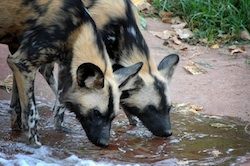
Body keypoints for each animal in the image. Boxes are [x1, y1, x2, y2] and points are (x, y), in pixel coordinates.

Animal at [0, 0, 143, 147]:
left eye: (113, 117)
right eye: (96, 113)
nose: (104, 143)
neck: (76, 31)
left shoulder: (19, 59)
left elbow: (16, 105)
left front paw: (17, 128)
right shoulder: (22, 63)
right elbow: (32, 115)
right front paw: (36, 145)